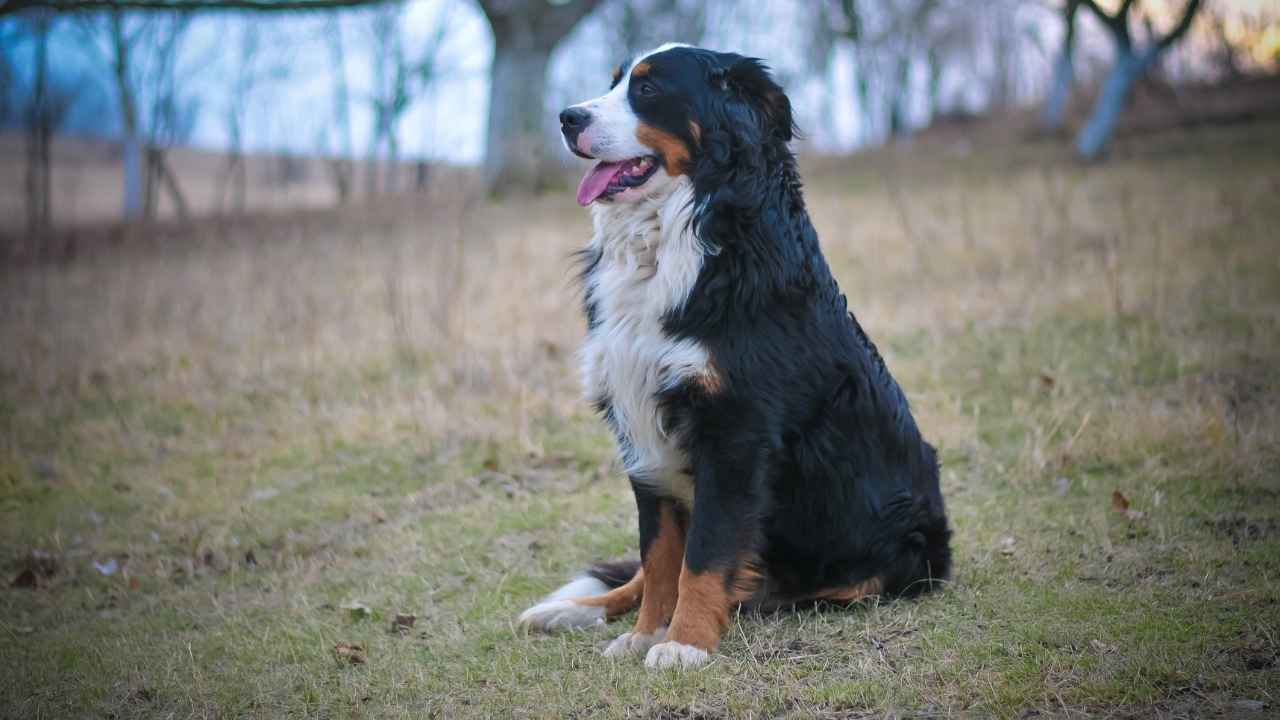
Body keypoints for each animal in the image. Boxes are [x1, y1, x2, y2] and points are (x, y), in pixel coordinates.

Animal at [517, 41, 952, 666]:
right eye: (615, 80)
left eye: (648, 89)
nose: (567, 118)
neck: (676, 239)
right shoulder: (638, 420)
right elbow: (659, 556)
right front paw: (647, 633)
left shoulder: (736, 431)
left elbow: (704, 556)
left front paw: (683, 644)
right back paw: (570, 609)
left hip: (904, 538)